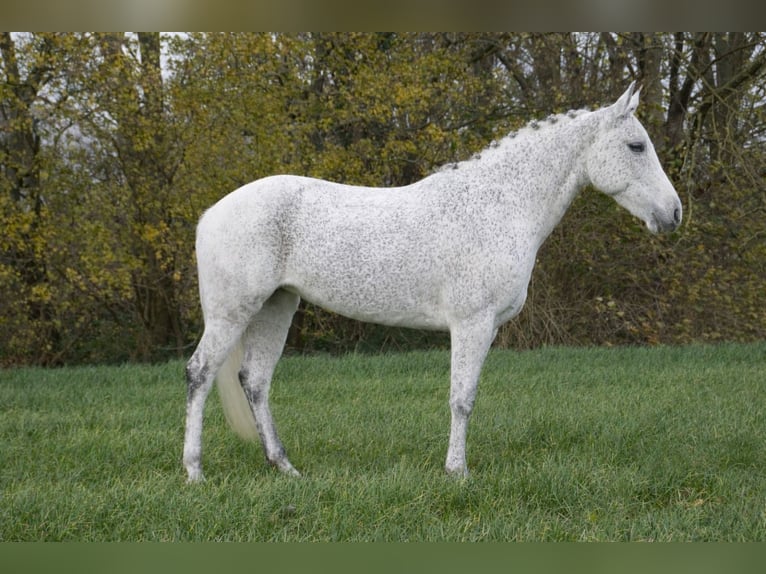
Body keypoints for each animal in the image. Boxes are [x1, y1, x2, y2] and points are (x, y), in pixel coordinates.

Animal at [182, 82, 682, 482]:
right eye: (637, 146)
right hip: (233, 313)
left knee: (255, 381)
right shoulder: (472, 324)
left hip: (277, 306)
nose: (673, 213)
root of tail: (212, 213)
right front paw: (457, 472)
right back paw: (194, 473)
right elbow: (462, 399)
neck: (498, 204)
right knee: (199, 374)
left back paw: (285, 467)